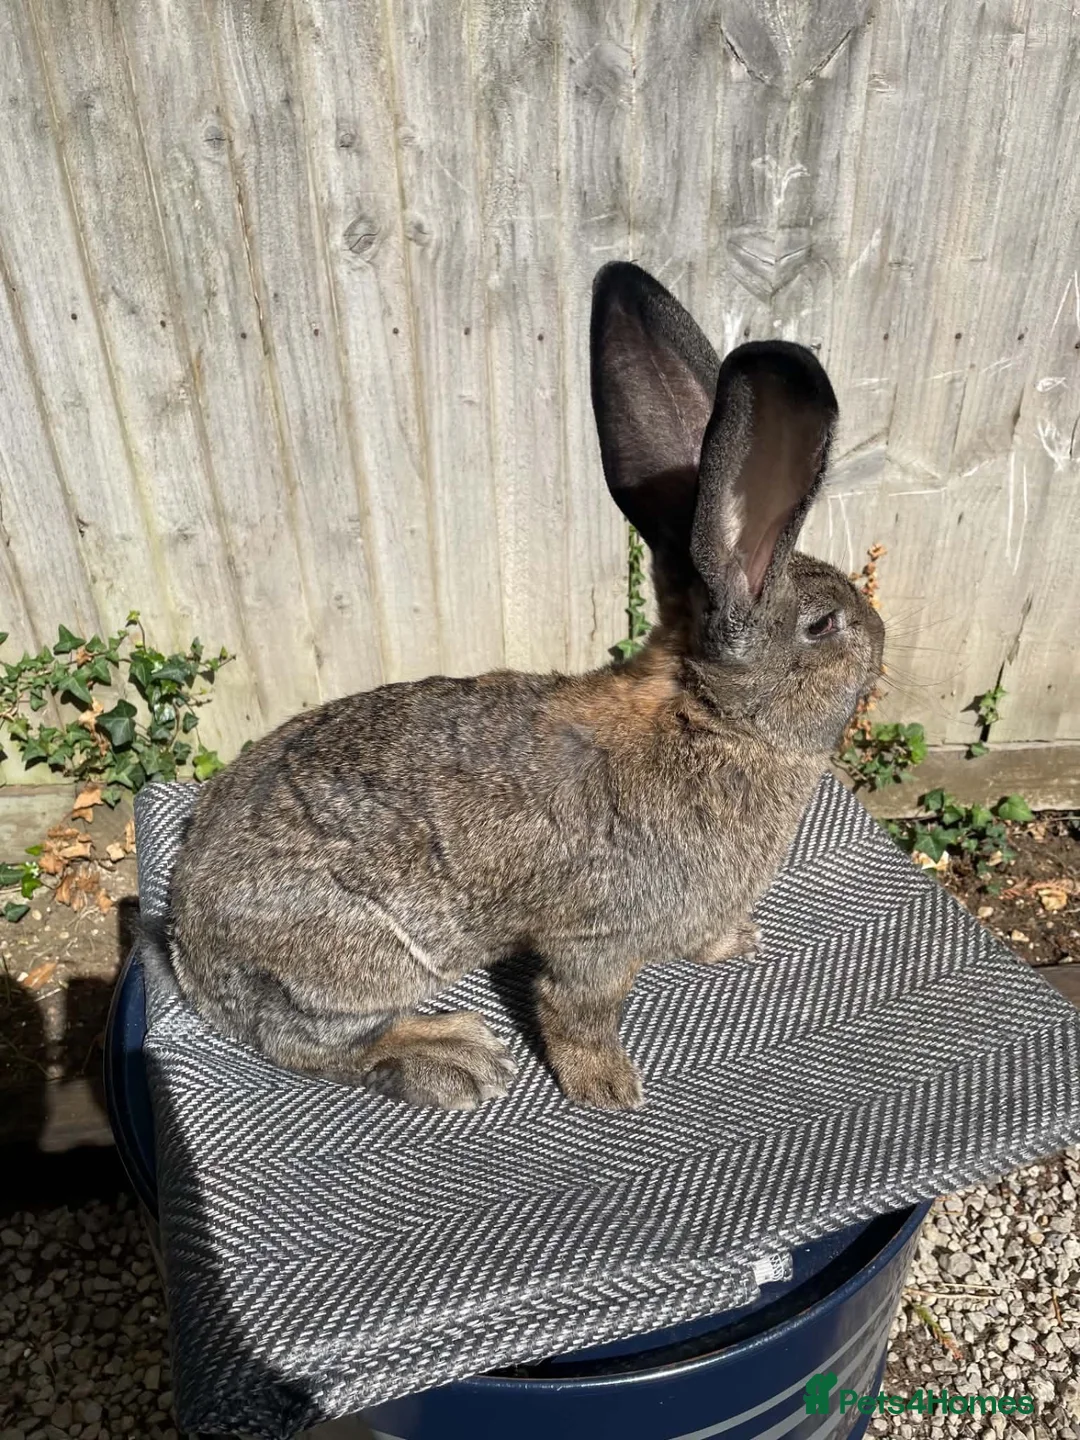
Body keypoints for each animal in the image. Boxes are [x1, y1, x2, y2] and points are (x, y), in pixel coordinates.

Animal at [166, 260, 884, 1113]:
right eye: (823, 625)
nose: (880, 637)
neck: (710, 720)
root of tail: (186, 945)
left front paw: (735, 941)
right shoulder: (596, 939)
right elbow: (576, 1008)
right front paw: (607, 1088)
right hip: (365, 962)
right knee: (305, 1044)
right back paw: (451, 1055)